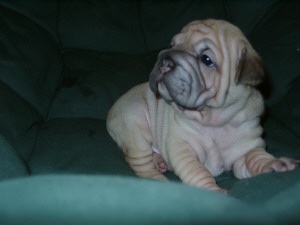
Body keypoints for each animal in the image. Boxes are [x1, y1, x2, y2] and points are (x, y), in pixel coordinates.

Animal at [106, 19, 298, 192]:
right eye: (171, 45)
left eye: (206, 59)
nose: (165, 59)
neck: (215, 120)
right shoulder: (183, 150)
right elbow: (198, 172)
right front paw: (214, 191)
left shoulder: (244, 151)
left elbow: (255, 157)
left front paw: (274, 163)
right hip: (136, 127)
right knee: (141, 165)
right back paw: (156, 179)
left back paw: (160, 162)